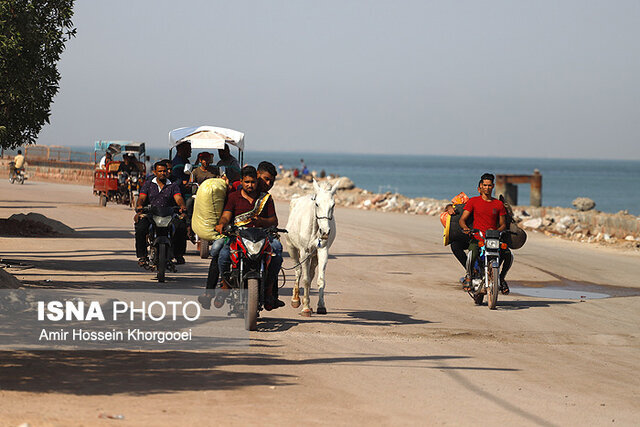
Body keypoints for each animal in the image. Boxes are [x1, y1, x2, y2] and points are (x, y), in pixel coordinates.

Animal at [284, 179, 340, 316]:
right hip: (292, 249)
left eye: (333, 205)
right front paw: (305, 308)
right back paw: (296, 299)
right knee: (298, 271)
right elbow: (305, 280)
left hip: (314, 257)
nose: (325, 232)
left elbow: (320, 280)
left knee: (310, 273)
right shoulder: (304, 252)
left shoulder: (322, 251)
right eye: (317, 204)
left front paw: (321, 306)